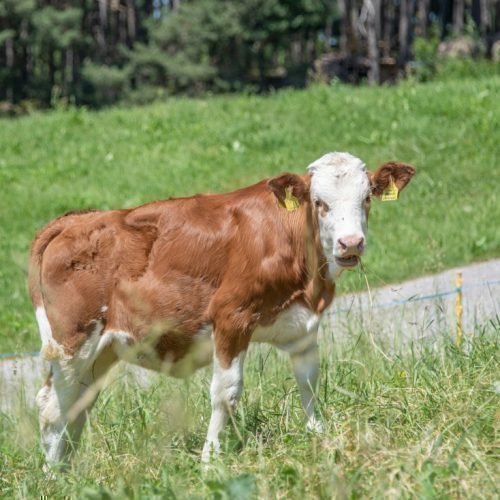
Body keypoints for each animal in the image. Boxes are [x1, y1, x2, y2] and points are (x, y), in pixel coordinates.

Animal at [29, 151, 416, 464]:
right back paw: (53, 475)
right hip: (73, 341)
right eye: (320, 202)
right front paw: (210, 458)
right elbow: (225, 393)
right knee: (51, 405)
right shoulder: (231, 318)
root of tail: (75, 219)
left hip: (102, 350)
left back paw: (68, 468)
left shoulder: (304, 323)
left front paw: (318, 435)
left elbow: (308, 380)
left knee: (77, 403)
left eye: (366, 198)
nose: (350, 243)